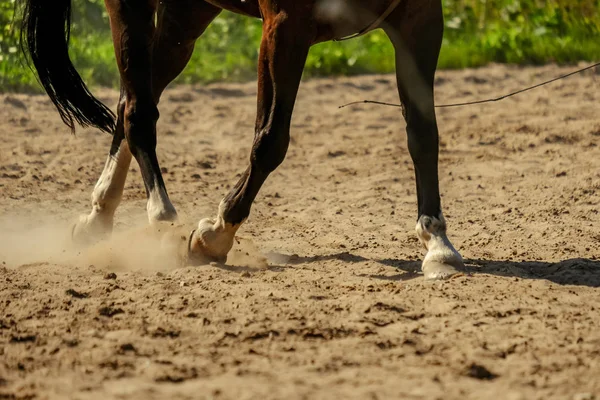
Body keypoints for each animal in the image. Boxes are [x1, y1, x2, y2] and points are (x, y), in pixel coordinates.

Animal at [17, 0, 460, 280]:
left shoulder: (420, 21)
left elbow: (424, 133)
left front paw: (437, 242)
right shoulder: (284, 27)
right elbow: (270, 140)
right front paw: (215, 235)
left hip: (186, 16)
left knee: (132, 99)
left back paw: (98, 215)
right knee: (137, 111)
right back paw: (159, 213)